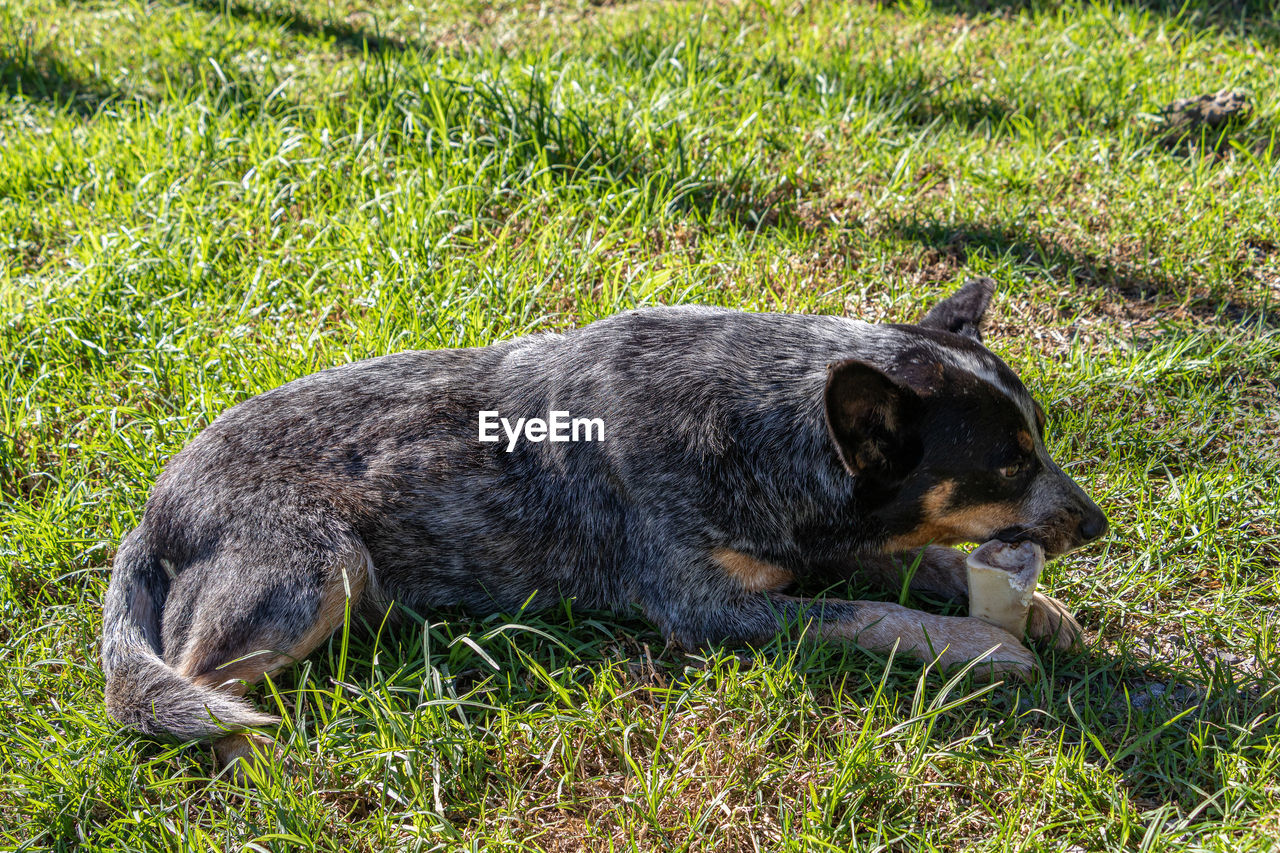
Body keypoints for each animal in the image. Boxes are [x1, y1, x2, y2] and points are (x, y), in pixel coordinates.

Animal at [102, 280, 1100, 763]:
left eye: (1042, 437)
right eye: (1010, 461)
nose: (1094, 524)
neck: (757, 421)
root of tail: (155, 506)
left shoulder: (824, 538)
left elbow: (917, 560)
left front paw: (1038, 608)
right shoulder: (710, 610)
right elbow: (872, 614)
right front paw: (985, 644)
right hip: (317, 568)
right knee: (178, 682)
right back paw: (248, 758)